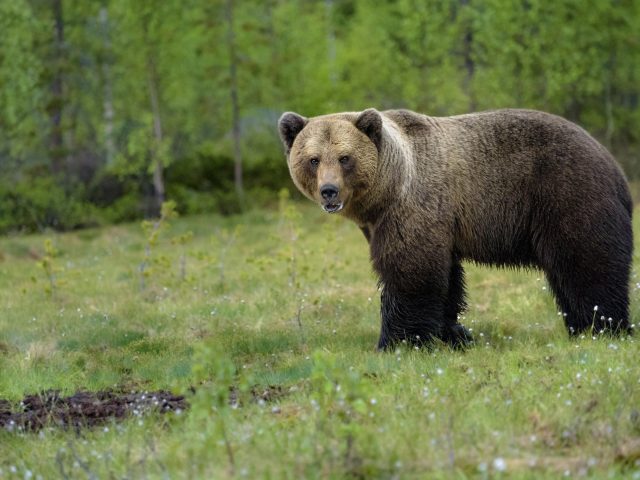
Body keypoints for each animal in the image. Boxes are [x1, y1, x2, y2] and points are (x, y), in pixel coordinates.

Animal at [278, 108, 632, 348]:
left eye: (344, 157)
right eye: (313, 159)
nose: (329, 191)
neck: (385, 194)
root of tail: (614, 166)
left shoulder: (414, 207)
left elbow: (411, 272)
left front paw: (397, 341)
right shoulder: (408, 222)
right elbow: (446, 278)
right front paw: (455, 334)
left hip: (566, 194)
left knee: (588, 264)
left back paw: (606, 327)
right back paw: (581, 327)